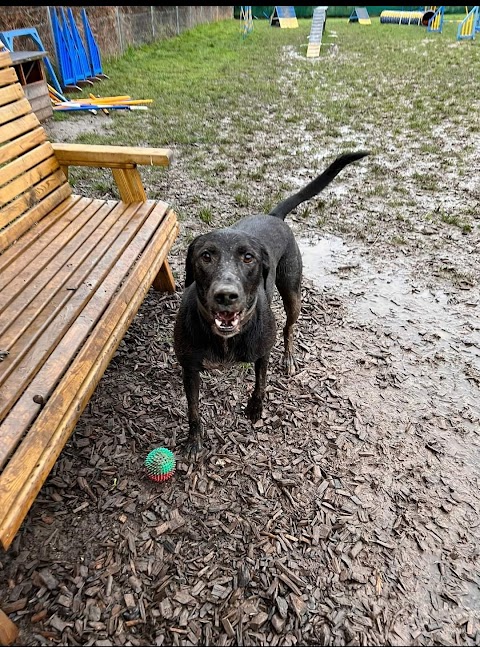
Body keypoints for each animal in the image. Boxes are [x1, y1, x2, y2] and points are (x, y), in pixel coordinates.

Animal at [174, 151, 370, 456]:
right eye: (205, 256)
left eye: (248, 258)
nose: (226, 295)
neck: (226, 339)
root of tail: (273, 215)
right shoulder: (190, 369)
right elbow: (193, 409)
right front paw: (194, 440)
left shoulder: (263, 350)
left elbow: (261, 382)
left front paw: (255, 409)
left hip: (292, 293)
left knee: (290, 328)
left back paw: (289, 358)